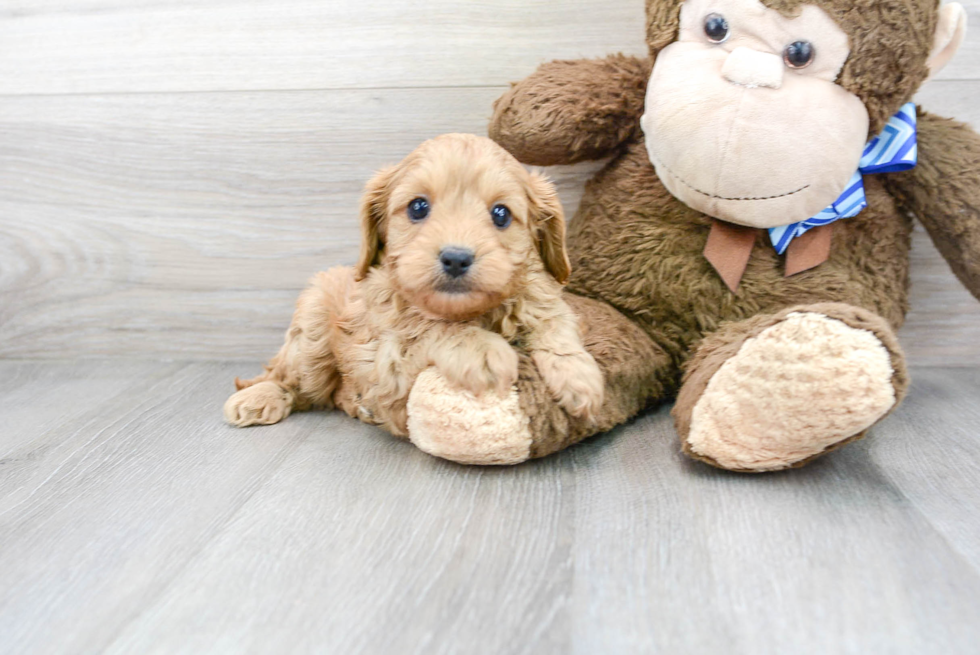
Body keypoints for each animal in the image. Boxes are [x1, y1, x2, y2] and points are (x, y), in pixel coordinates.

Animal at [225, 134, 600, 440]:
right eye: (418, 207)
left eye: (501, 214)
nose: (456, 258)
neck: (469, 311)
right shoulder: (387, 358)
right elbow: (430, 327)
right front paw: (483, 350)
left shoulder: (543, 299)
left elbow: (555, 324)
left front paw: (580, 378)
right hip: (311, 331)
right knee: (288, 379)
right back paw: (258, 398)